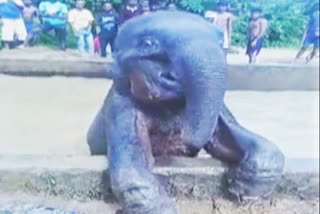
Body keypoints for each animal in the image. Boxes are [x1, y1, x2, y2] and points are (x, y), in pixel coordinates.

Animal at [87, 10, 284, 214]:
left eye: (221, 42)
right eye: (148, 44)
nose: (184, 140)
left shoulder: (219, 108)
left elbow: (226, 139)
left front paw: (247, 194)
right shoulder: (120, 107)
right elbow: (131, 169)